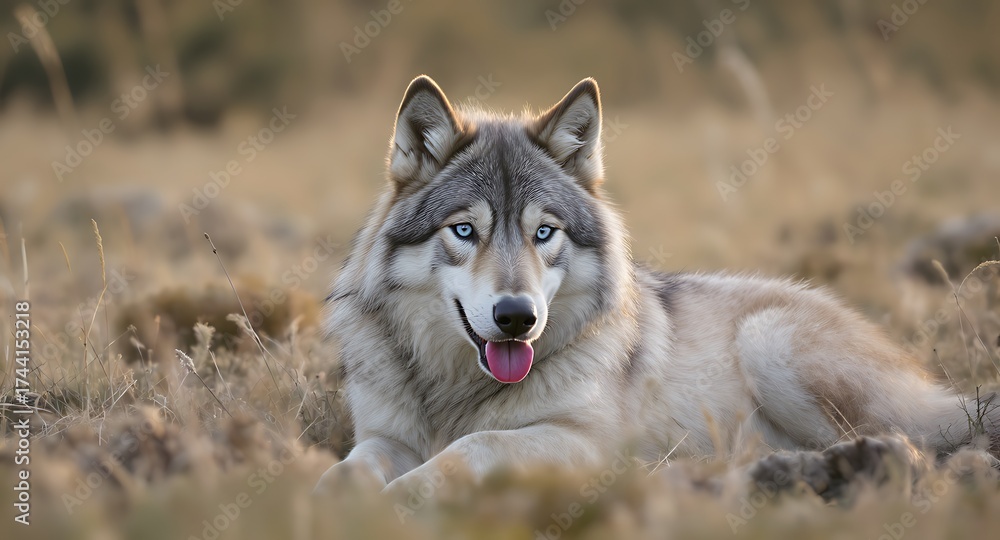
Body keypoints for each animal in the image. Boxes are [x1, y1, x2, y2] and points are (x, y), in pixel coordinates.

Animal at [314, 75, 998, 495]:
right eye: (464, 230)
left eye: (543, 233)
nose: (517, 317)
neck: (453, 389)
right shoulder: (382, 437)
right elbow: (348, 470)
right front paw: (333, 500)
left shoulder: (582, 443)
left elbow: (470, 448)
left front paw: (404, 498)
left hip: (772, 344)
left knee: (908, 441)